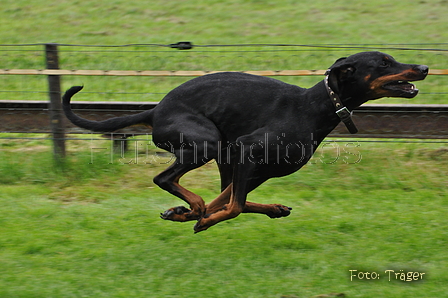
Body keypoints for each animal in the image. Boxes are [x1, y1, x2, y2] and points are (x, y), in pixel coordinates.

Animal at [62, 51, 428, 233]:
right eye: (384, 63)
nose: (424, 67)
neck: (314, 108)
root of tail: (157, 110)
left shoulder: (257, 168)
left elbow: (228, 199)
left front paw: (186, 215)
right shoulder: (246, 152)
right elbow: (233, 205)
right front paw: (201, 219)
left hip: (222, 155)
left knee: (214, 192)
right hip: (207, 143)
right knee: (164, 178)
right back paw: (194, 207)